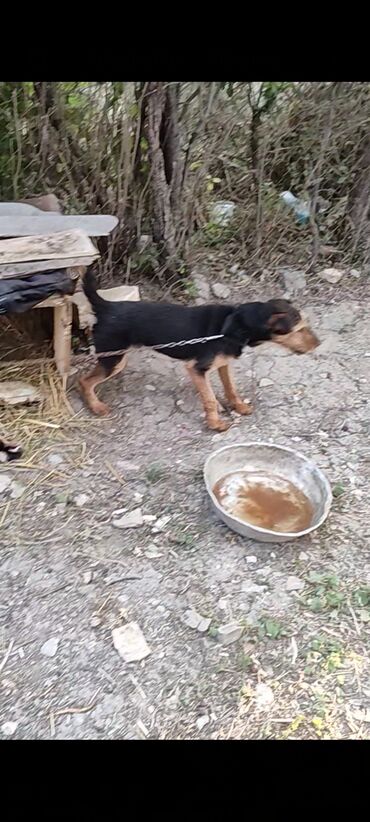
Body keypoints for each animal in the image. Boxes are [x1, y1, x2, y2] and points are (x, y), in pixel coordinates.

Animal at [79, 274, 320, 434]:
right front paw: (215, 424)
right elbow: (211, 399)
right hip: (113, 358)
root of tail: (107, 307)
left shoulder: (224, 364)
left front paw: (239, 406)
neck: (235, 325)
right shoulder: (196, 369)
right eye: (299, 329)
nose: (318, 344)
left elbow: (231, 388)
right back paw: (96, 406)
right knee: (85, 381)